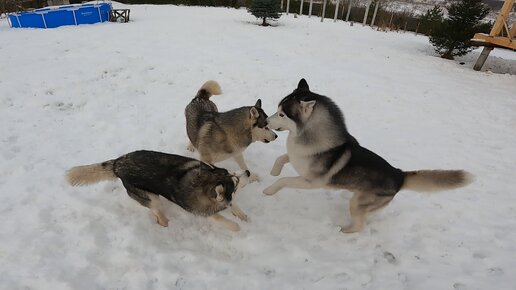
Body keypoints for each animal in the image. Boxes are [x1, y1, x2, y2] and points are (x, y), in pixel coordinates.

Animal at [66, 151, 252, 232]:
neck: (203, 181)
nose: (248, 172)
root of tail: (118, 163)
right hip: (150, 197)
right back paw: (166, 224)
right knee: (157, 213)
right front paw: (236, 226)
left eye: (233, 173)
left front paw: (242, 215)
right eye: (235, 182)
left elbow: (233, 205)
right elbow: (222, 219)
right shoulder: (201, 210)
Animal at [264, 78, 474, 233]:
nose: (265, 121)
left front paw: (269, 190)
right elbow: (282, 158)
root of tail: (399, 174)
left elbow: (284, 181)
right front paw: (274, 171)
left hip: (357, 203)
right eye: (277, 110)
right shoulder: (296, 156)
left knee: (359, 225)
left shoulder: (311, 182)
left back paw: (344, 230)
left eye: (282, 114)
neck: (310, 137)